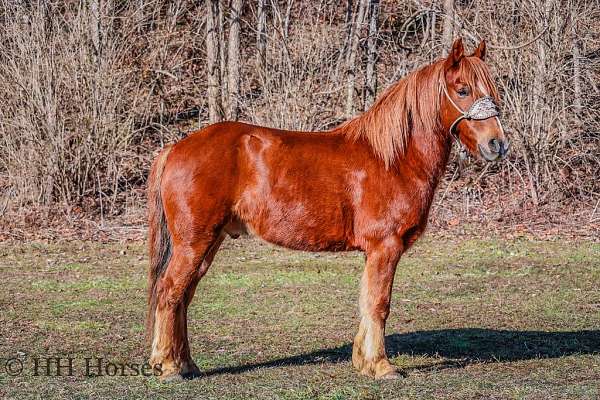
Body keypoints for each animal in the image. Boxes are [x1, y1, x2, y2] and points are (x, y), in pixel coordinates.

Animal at [144, 38, 506, 382]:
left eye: (492, 89)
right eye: (462, 89)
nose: (497, 144)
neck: (393, 159)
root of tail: (176, 147)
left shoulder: (374, 252)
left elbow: (367, 302)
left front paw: (364, 361)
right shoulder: (385, 246)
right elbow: (379, 304)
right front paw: (381, 366)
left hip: (208, 243)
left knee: (184, 296)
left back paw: (186, 364)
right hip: (194, 243)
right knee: (169, 292)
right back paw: (168, 366)